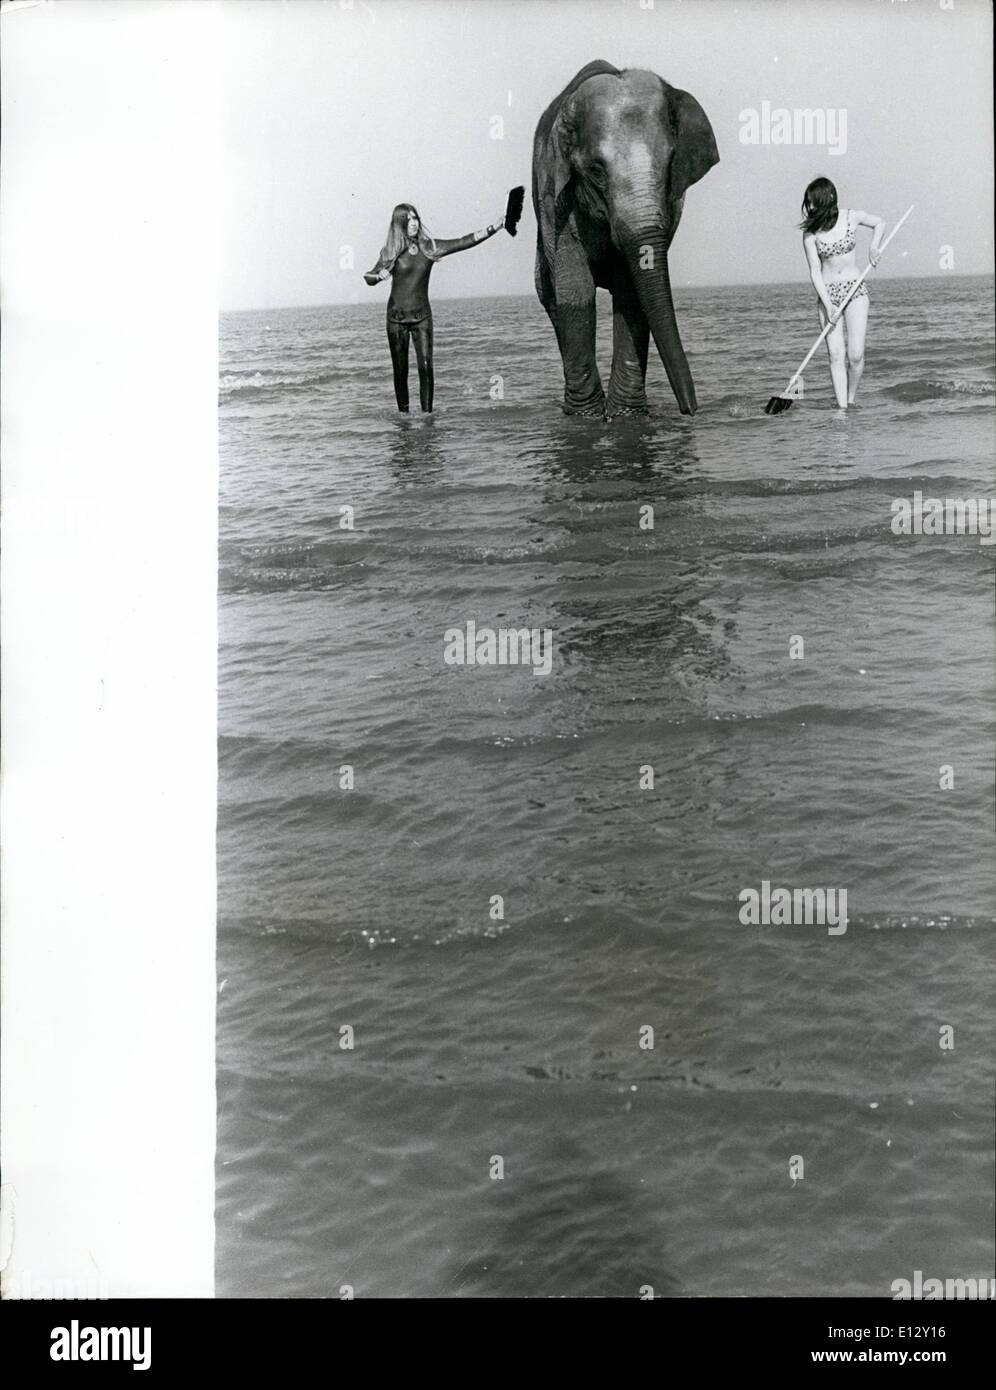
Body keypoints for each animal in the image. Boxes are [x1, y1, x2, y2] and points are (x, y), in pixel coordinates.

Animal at [533, 59, 716, 414]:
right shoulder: (553, 194)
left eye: (670, 162)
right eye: (596, 170)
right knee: (551, 297)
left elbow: (632, 289)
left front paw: (625, 414)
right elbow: (576, 286)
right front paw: (586, 416)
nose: (690, 409)